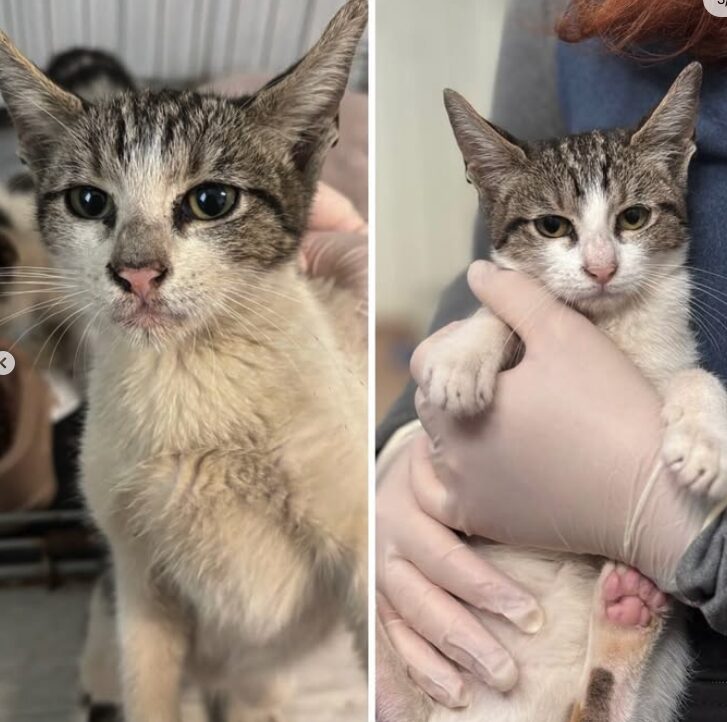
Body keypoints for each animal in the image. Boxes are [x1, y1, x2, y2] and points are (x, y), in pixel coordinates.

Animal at [0, 1, 366, 720]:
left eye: (212, 200)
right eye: (89, 201)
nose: (136, 271)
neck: (190, 382)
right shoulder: (137, 577)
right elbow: (148, 682)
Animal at [382, 63, 727, 720]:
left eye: (633, 218)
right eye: (551, 225)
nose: (601, 267)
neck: (606, 328)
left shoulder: (669, 353)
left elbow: (693, 374)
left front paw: (706, 435)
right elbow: (511, 309)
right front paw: (463, 356)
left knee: (605, 707)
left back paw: (626, 616)